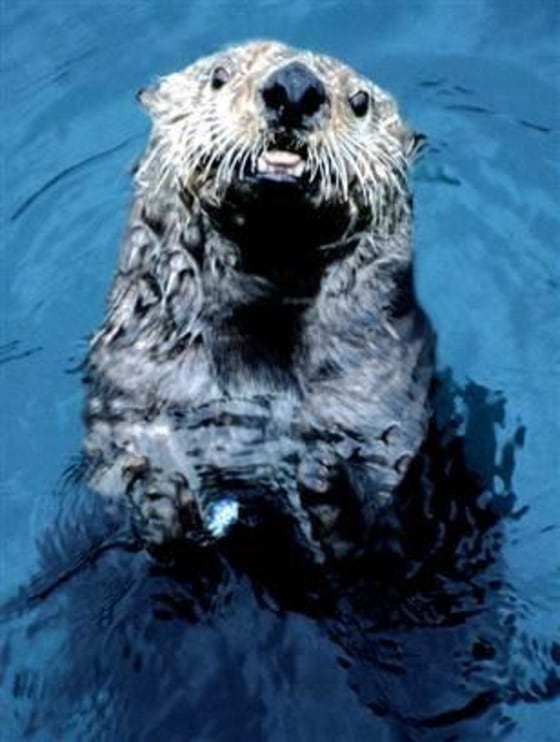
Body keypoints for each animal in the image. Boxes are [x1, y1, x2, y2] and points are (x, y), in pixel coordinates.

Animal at [84, 41, 435, 563]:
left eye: (360, 102)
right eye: (219, 75)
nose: (295, 86)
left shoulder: (384, 404)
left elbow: (386, 522)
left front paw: (327, 484)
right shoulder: (135, 383)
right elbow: (121, 461)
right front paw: (160, 496)